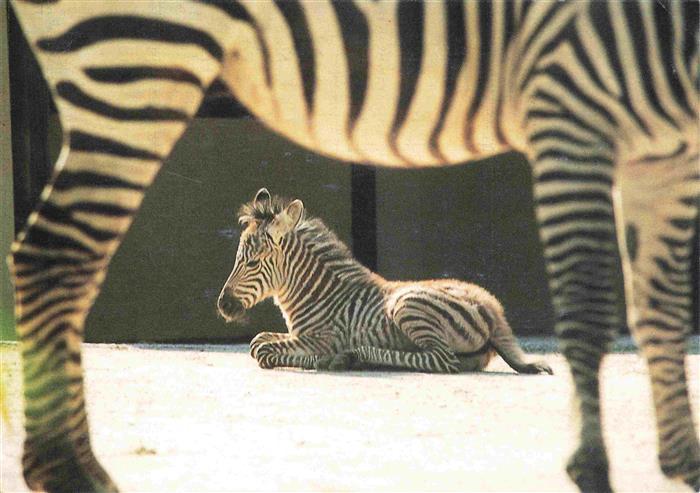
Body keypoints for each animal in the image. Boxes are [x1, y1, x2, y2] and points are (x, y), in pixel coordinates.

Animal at [217, 188, 554, 375]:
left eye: (252, 262)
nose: (222, 306)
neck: (318, 294)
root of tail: (493, 308)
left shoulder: (322, 337)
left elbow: (261, 349)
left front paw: (326, 359)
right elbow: (259, 339)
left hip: (408, 306)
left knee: (441, 361)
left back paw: (353, 357)